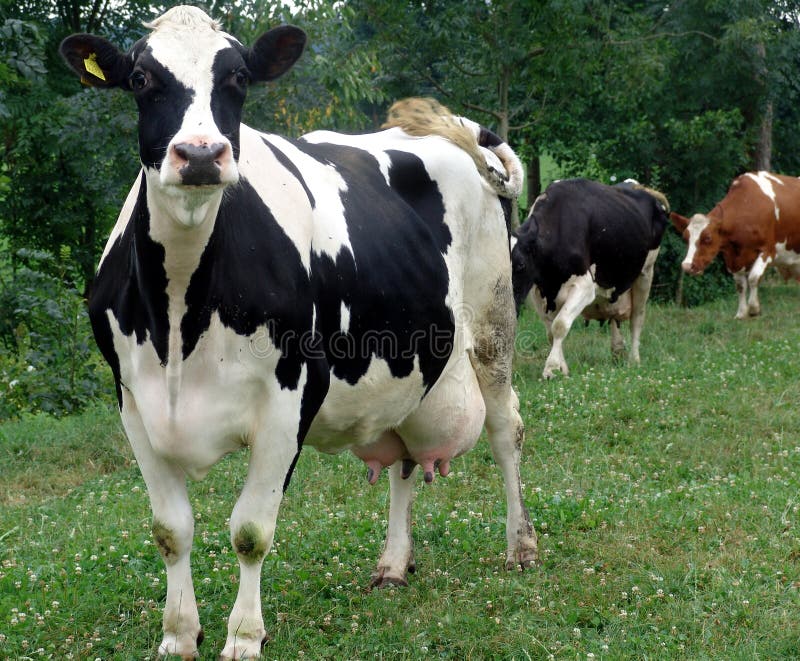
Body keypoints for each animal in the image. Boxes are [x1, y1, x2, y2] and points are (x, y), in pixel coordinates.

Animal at [59, 7, 537, 659]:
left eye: (238, 78)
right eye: (140, 79)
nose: (201, 154)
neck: (179, 325)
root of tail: (454, 128)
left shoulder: (290, 400)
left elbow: (250, 531)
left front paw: (243, 637)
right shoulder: (132, 401)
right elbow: (170, 530)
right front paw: (179, 633)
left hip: (493, 317)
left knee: (505, 429)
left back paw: (521, 546)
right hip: (409, 363)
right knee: (405, 457)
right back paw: (393, 563)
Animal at [511, 178, 669, 379]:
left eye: (521, 265)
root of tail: (636, 186)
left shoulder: (584, 286)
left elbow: (560, 325)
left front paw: (551, 368)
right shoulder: (539, 292)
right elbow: (550, 331)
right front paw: (562, 368)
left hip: (646, 273)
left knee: (637, 318)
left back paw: (634, 360)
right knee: (614, 315)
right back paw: (618, 351)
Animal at [670, 171, 800, 319]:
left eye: (708, 238)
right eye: (685, 238)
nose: (687, 266)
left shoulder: (768, 250)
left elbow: (753, 278)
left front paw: (754, 308)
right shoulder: (733, 258)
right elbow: (740, 285)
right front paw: (741, 313)